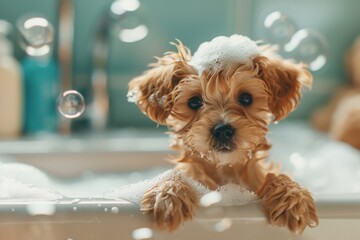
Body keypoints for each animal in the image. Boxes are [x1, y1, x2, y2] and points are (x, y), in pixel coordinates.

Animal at [129, 34, 318, 233]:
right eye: (194, 102)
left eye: (246, 98)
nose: (222, 130)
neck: (225, 172)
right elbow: (175, 174)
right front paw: (167, 193)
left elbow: (275, 176)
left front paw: (293, 195)